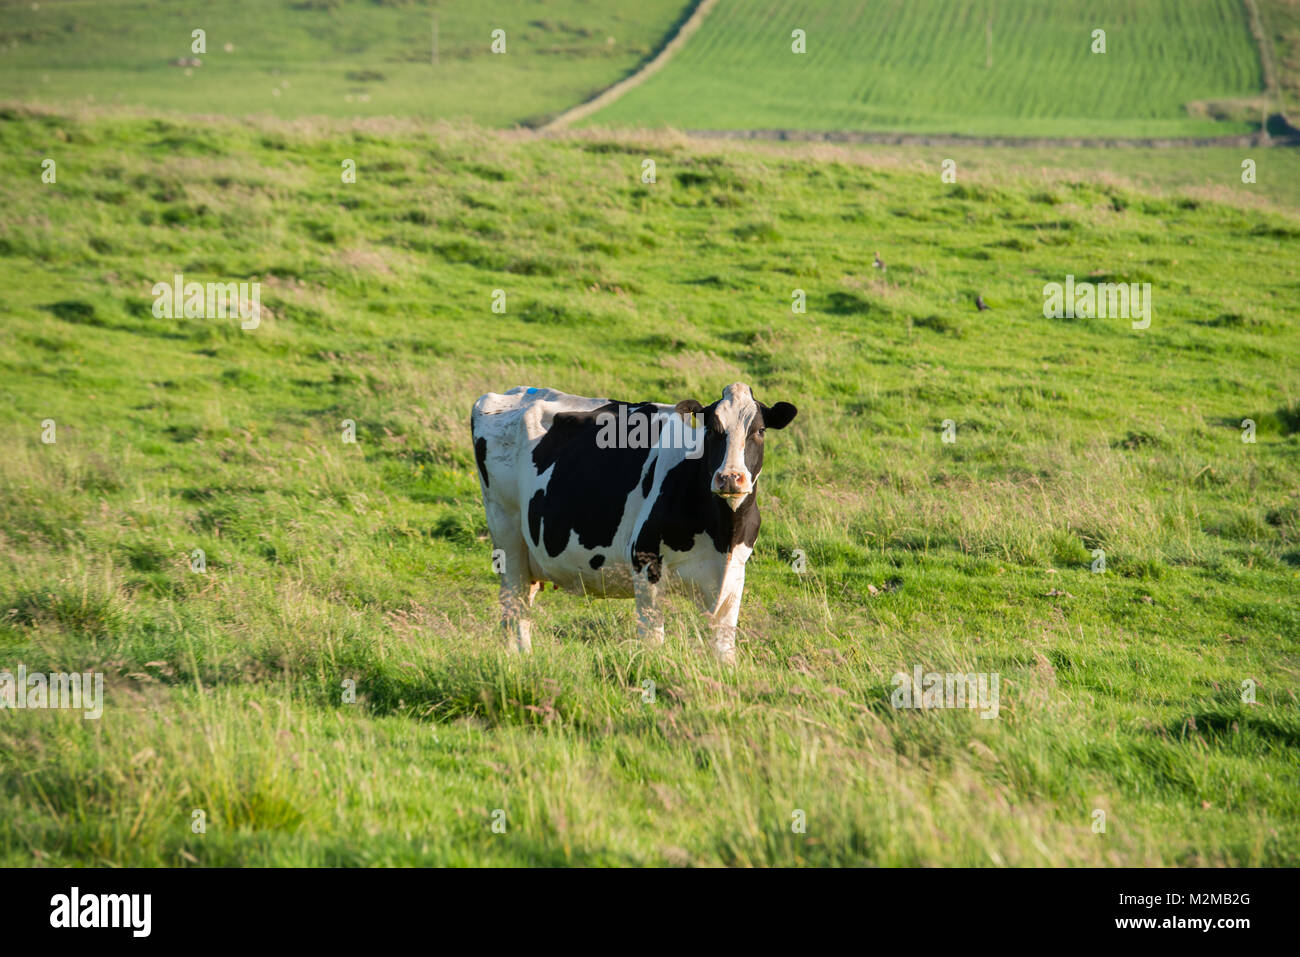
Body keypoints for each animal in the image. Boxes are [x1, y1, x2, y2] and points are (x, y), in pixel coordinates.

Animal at [471, 382, 797, 663]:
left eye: (759, 430)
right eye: (712, 430)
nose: (730, 478)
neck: (723, 534)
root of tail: (512, 393)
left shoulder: (734, 573)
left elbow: (724, 647)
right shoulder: (646, 562)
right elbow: (653, 641)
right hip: (507, 534)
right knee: (514, 603)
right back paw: (518, 658)